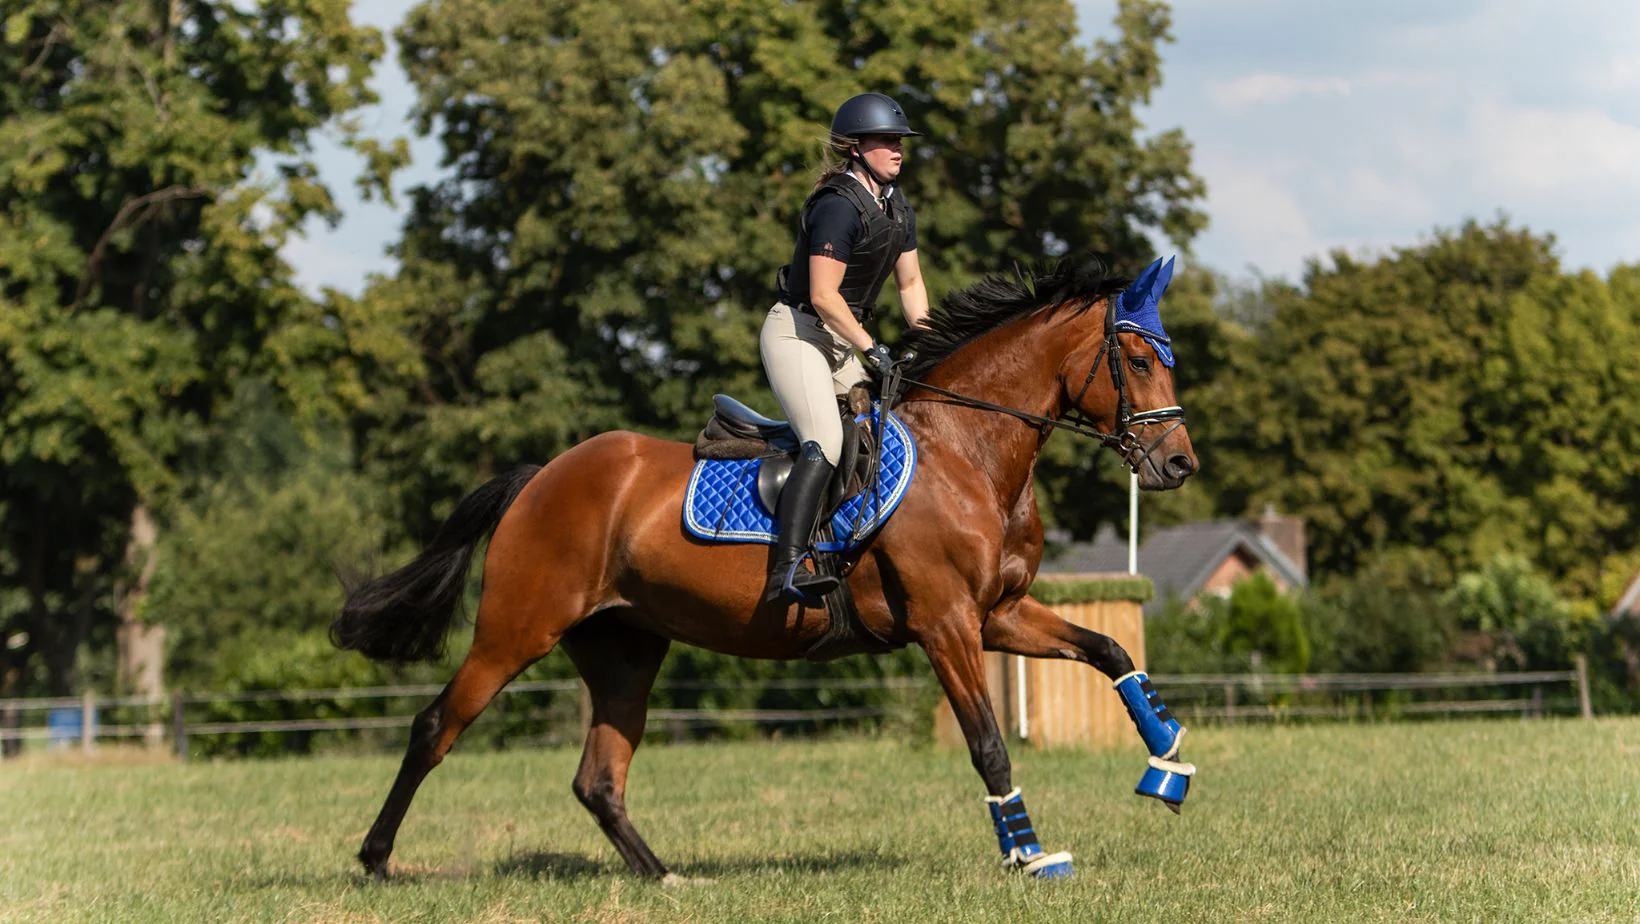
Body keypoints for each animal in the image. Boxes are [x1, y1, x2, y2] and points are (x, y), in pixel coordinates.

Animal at [332, 256, 1199, 882]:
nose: (1180, 464)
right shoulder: (946, 623)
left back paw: (665, 878)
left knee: (598, 777)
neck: (971, 450)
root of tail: (542, 475)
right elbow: (988, 742)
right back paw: (376, 859)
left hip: (625, 649)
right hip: (519, 628)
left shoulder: (999, 614)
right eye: (1135, 359)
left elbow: (1111, 651)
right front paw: (1029, 854)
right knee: (436, 727)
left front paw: (1168, 763)